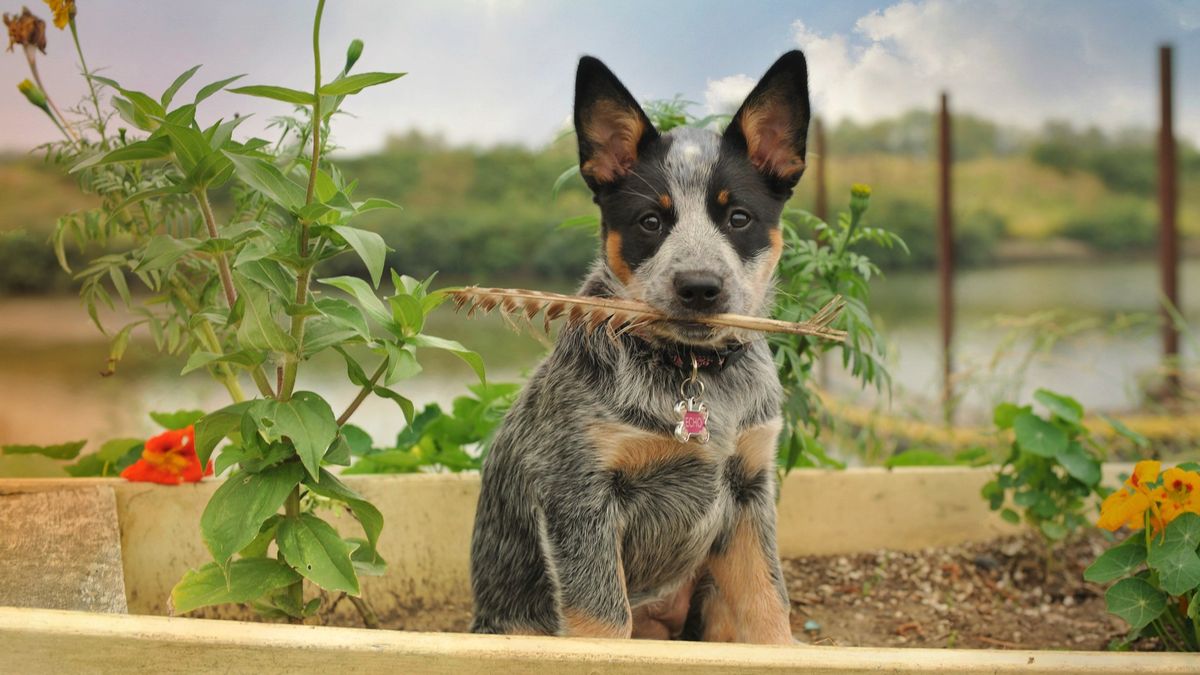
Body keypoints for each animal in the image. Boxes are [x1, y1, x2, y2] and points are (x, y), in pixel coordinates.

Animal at [465, 49, 806, 638]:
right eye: (651, 221)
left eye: (738, 217)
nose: (699, 286)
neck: (694, 373)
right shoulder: (578, 494)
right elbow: (603, 622)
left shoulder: (749, 489)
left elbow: (768, 606)